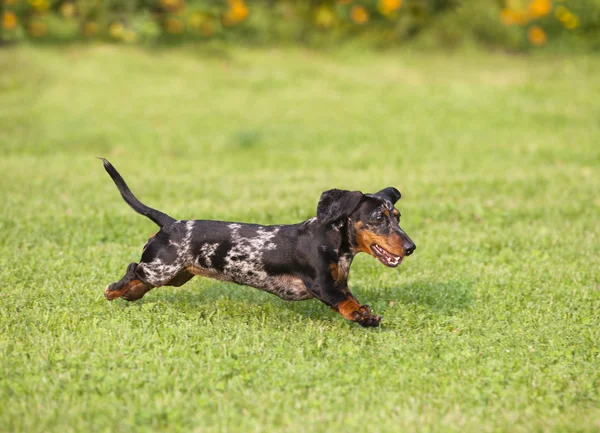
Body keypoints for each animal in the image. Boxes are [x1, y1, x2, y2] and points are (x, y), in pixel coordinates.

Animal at [99, 157, 418, 326]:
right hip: (161, 269)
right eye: (378, 217)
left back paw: (129, 294)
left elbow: (351, 297)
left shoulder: (339, 282)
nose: (411, 247)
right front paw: (363, 317)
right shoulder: (323, 286)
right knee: (133, 268)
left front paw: (366, 313)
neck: (330, 242)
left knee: (139, 280)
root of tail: (170, 222)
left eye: (398, 216)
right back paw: (113, 290)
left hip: (176, 276)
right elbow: (345, 303)